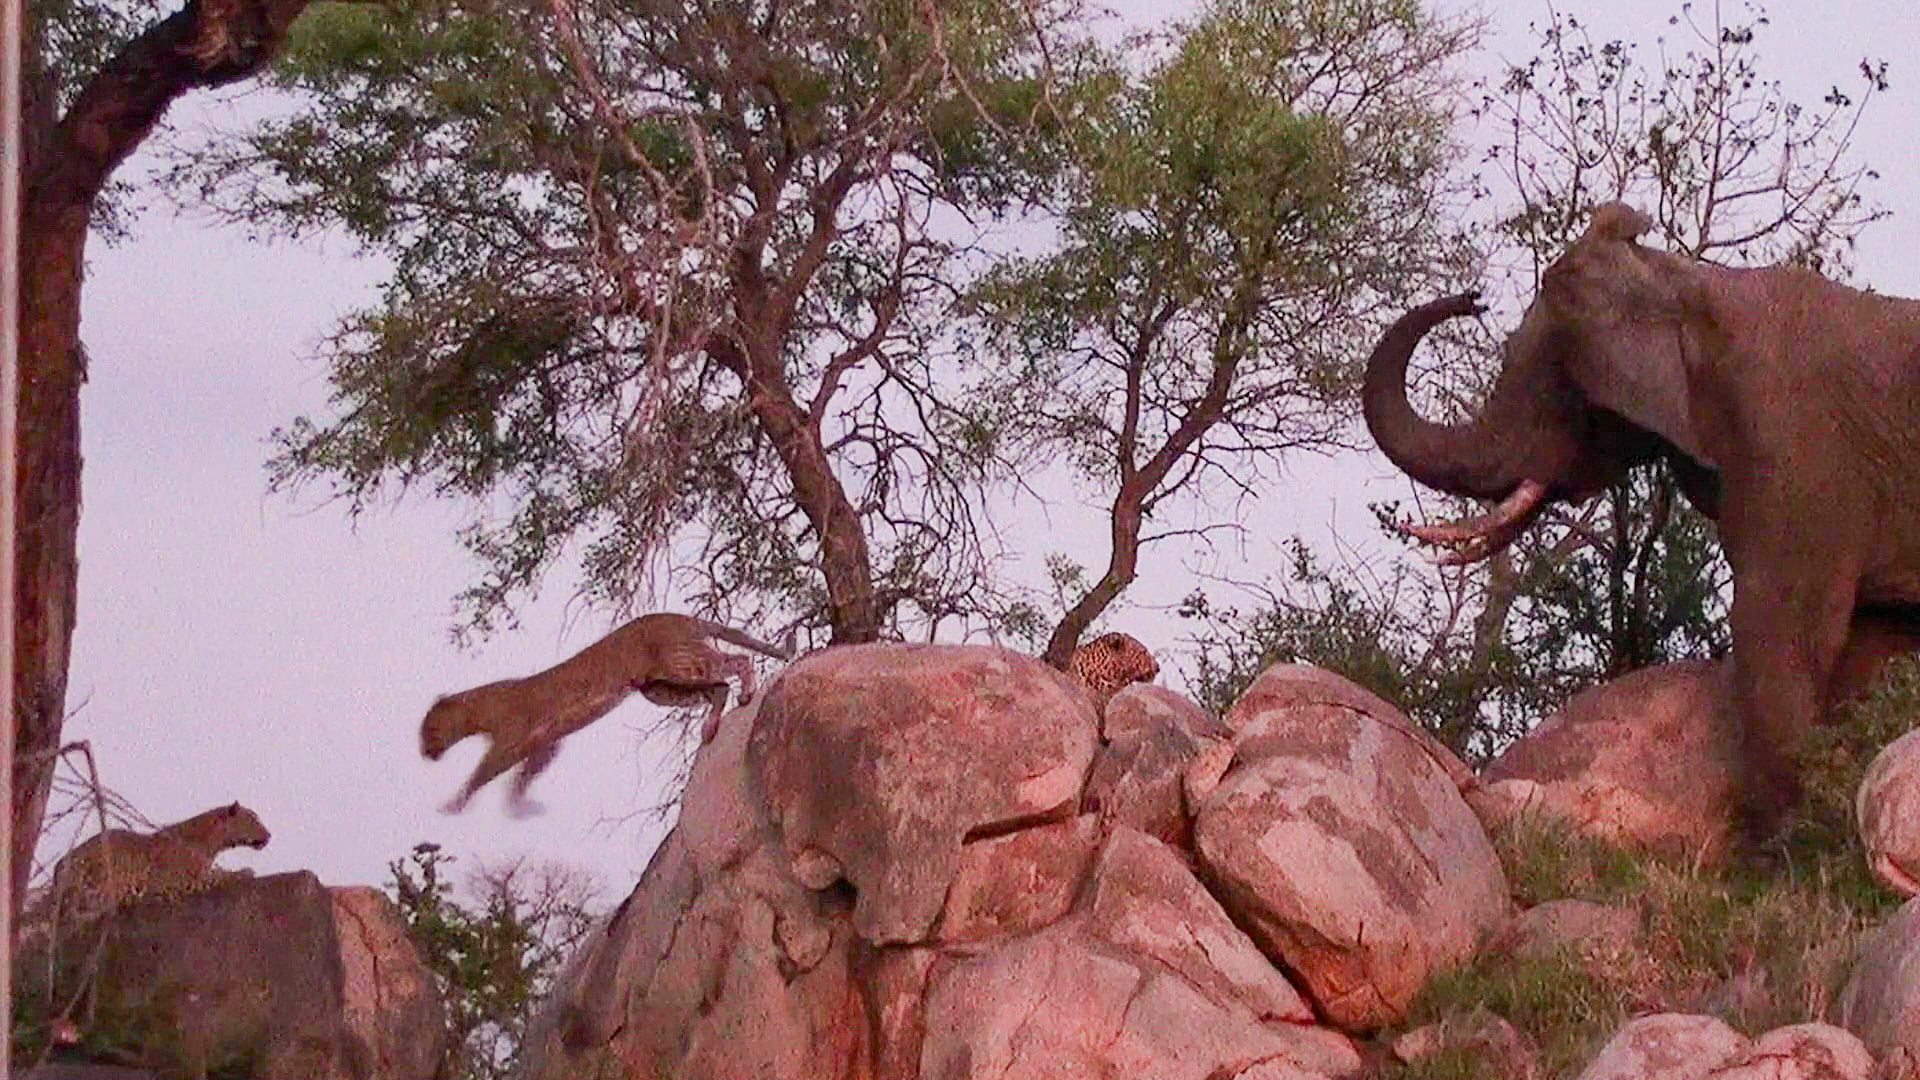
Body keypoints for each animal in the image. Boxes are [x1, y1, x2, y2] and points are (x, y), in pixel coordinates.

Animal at [422, 612, 793, 817]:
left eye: (427, 729)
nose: (425, 754)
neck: (479, 712)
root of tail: (678, 615)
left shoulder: (510, 743)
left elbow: (482, 773)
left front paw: (453, 805)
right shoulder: (545, 743)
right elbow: (523, 778)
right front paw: (522, 809)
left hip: (680, 662)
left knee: (734, 666)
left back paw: (743, 697)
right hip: (659, 687)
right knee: (720, 682)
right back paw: (715, 724)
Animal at [1362, 201, 1920, 840]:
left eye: (1552, 376)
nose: (1472, 298)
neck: (1689, 284)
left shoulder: (1796, 448)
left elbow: (1781, 627)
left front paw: (1788, 850)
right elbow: (1869, 642)